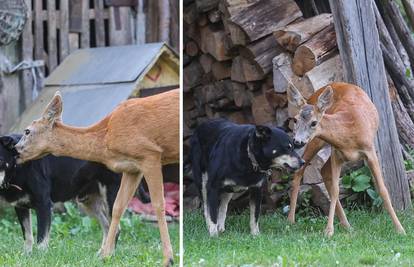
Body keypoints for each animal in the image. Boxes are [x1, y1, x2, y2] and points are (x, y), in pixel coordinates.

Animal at [14, 89, 180, 266]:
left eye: (27, 131)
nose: (15, 150)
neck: (106, 136)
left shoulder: (150, 154)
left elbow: (158, 204)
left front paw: (168, 259)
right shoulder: (131, 168)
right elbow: (118, 207)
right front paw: (106, 255)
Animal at [286, 82, 406, 238]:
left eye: (313, 123)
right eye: (295, 120)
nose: (297, 141)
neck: (350, 130)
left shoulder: (370, 151)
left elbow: (383, 189)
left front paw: (400, 229)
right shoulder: (336, 153)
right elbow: (336, 190)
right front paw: (329, 230)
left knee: (323, 171)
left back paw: (346, 225)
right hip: (316, 141)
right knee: (300, 170)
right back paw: (290, 220)